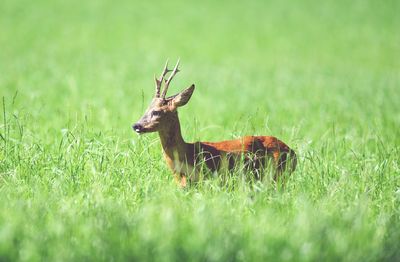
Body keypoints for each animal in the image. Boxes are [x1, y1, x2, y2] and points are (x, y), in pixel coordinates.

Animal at [133, 59, 296, 186]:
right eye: (147, 108)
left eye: (157, 111)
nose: (136, 125)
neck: (187, 154)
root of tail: (293, 152)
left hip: (277, 176)